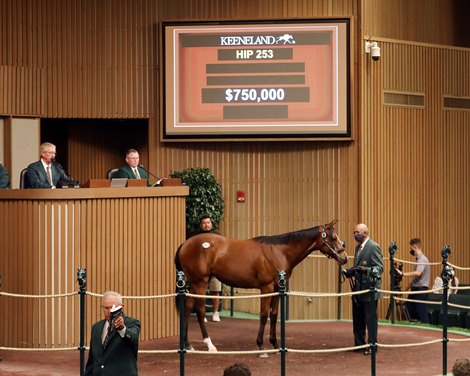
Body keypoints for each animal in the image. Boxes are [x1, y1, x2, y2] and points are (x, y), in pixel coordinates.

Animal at [174, 219, 346, 354]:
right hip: (200, 283)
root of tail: (185, 243)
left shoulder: (277, 289)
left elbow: (274, 315)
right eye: (333, 237)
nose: (345, 258)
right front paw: (261, 346)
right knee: (199, 311)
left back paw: (188, 345)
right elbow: (264, 315)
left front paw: (275, 344)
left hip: (193, 284)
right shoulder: (266, 288)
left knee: (187, 309)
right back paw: (210, 345)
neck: (279, 252)